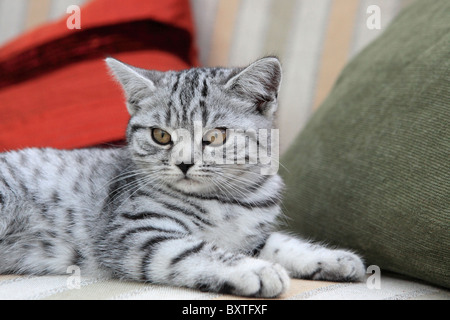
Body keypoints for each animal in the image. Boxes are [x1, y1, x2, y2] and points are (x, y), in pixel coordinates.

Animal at [0, 57, 366, 298]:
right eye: (161, 136)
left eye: (215, 136)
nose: (184, 163)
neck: (230, 200)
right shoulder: (135, 232)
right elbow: (194, 251)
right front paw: (253, 270)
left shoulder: (252, 235)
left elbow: (280, 244)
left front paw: (333, 258)